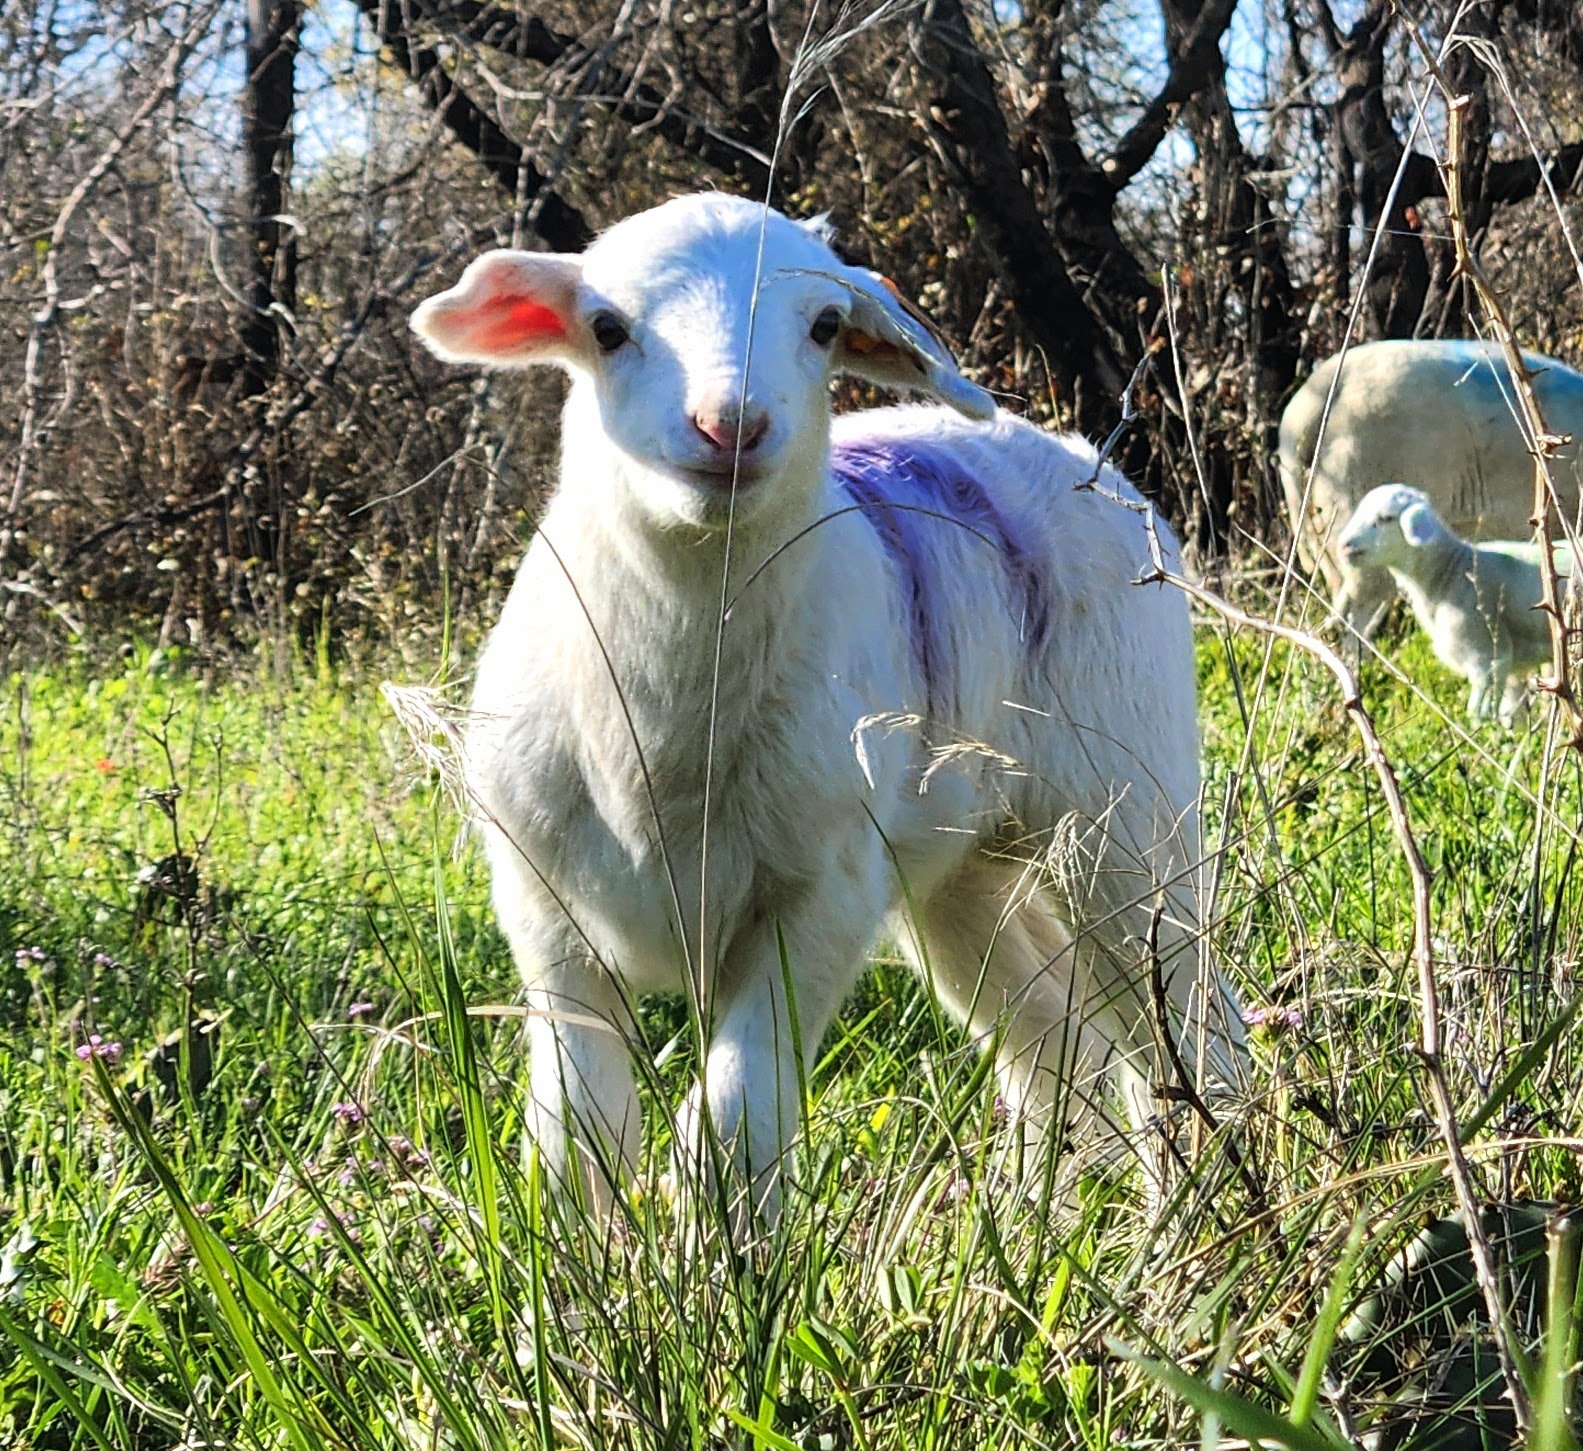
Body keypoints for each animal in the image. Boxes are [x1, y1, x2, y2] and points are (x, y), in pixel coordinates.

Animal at [411, 192, 1245, 1222]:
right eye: (606, 329)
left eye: (821, 327)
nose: (729, 423)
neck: (667, 736)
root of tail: (1064, 447)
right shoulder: (549, 923)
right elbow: (578, 1138)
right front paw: (577, 1269)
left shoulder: (818, 896)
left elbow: (733, 1121)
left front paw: (722, 1258)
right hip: (954, 866)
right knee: (1048, 1024)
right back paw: (1037, 1205)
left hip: (1127, 807)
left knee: (1187, 1017)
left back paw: (1202, 1200)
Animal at [1336, 483, 1575, 726]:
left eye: (1385, 518)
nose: (1343, 545)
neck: (1451, 570)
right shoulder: (1508, 664)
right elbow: (1510, 714)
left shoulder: (1487, 658)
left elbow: (1480, 714)